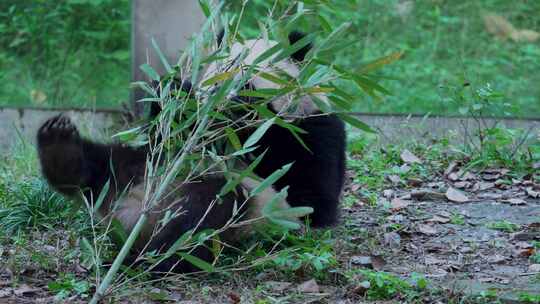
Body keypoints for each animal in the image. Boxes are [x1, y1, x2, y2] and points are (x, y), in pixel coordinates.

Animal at [37, 30, 346, 274]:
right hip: (141, 166)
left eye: (246, 82)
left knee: (204, 216)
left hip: (241, 212)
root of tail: (133, 214)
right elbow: (166, 133)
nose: (219, 104)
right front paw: (172, 91)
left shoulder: (314, 128)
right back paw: (60, 150)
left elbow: (310, 195)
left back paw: (150, 259)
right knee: (104, 161)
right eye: (215, 78)